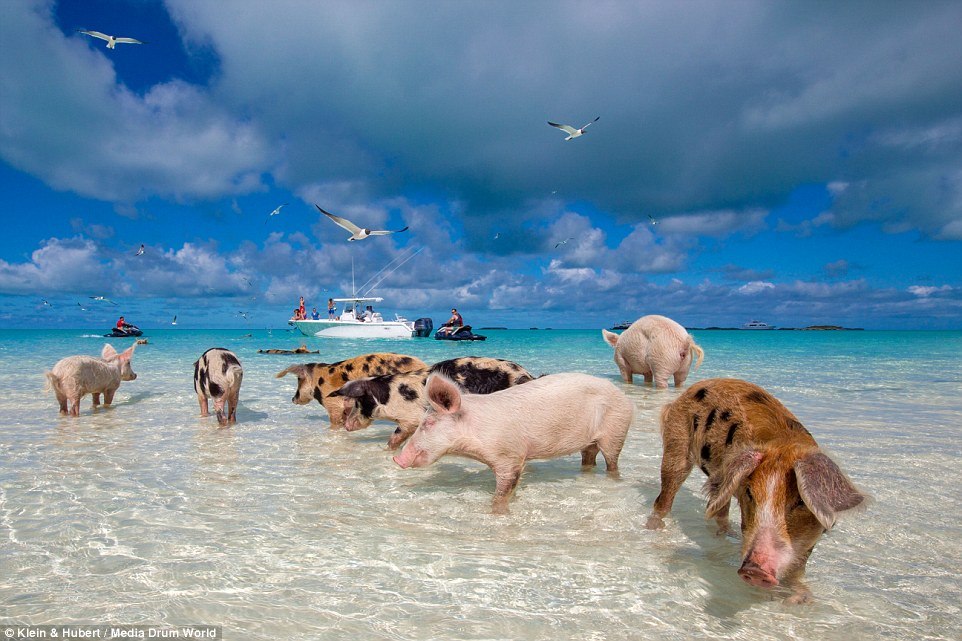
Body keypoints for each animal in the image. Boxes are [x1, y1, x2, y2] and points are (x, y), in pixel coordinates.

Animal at [326, 356, 528, 450]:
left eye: (359, 402)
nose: (347, 426)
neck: (389, 396)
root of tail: (526, 375)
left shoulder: (410, 418)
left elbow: (396, 437)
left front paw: (387, 450)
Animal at [394, 372, 632, 512]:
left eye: (429, 423)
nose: (397, 459)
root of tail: (621, 393)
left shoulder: (510, 456)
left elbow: (503, 492)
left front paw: (497, 514)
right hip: (590, 442)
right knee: (589, 457)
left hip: (617, 430)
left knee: (612, 462)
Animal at [644, 378, 864, 604]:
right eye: (750, 494)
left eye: (800, 502)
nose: (755, 571)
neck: (784, 444)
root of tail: (684, 394)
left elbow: (799, 566)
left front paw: (798, 600)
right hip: (676, 446)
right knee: (665, 496)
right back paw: (654, 528)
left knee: (720, 508)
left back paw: (727, 534)